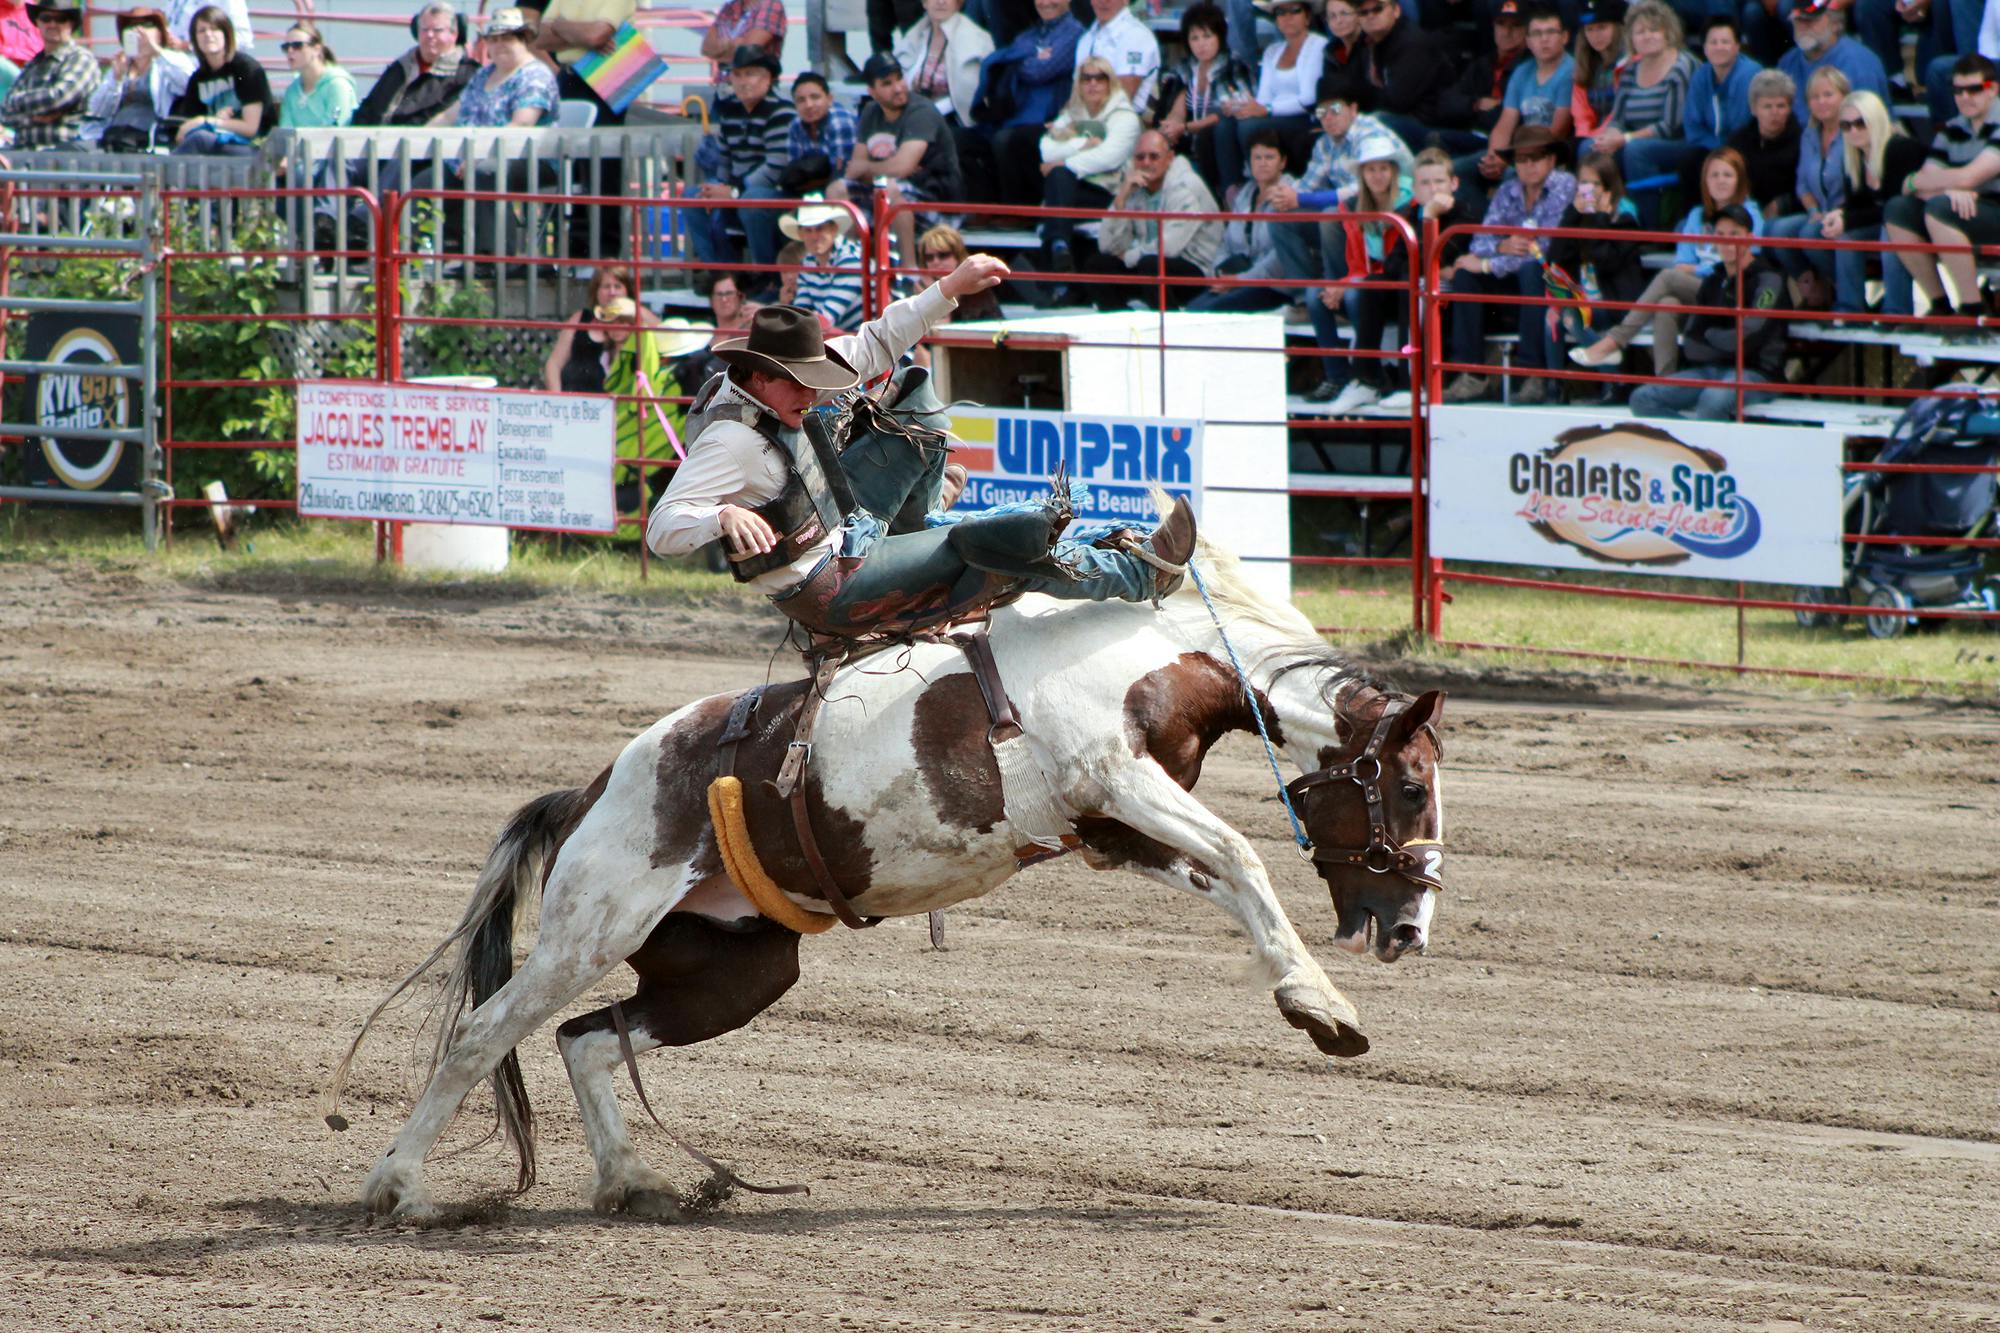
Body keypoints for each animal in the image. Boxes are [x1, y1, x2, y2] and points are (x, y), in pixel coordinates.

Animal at [332, 540, 1456, 1216]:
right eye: (1407, 786)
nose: (1409, 927)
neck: (1162, 652)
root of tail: (593, 786)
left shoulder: (1114, 826)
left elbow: (1224, 875)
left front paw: (1313, 1005)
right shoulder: (1114, 778)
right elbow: (1240, 854)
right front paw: (1325, 1004)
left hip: (734, 970)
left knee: (586, 1040)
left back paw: (631, 1179)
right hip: (591, 925)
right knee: (486, 1032)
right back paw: (399, 1187)